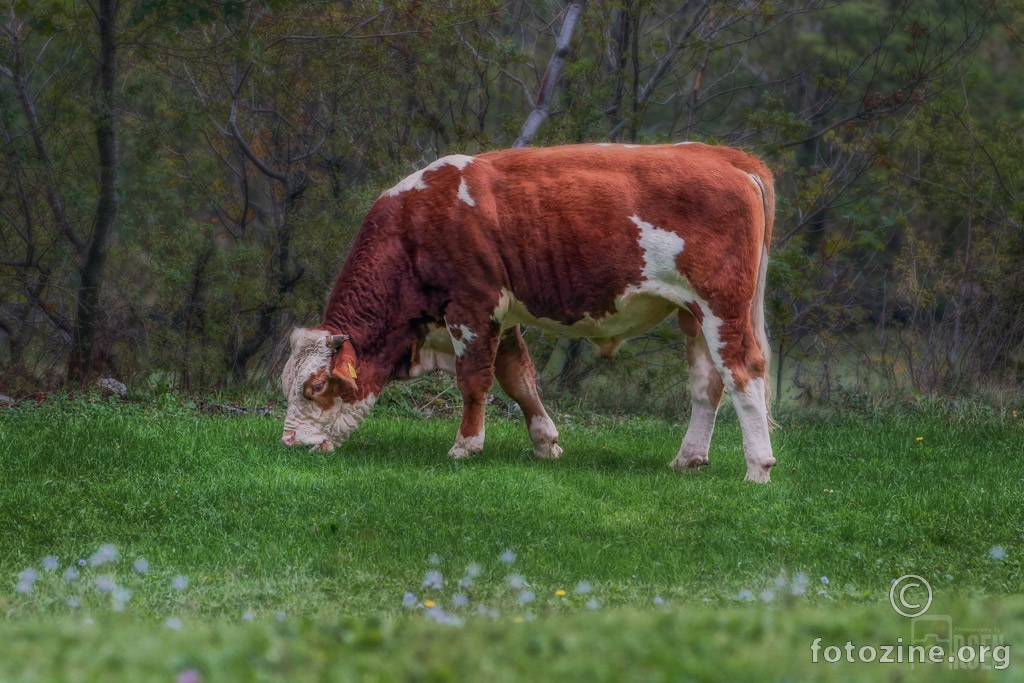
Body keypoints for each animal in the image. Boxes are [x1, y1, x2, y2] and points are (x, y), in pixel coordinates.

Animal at [280, 141, 774, 481]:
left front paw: (465, 446)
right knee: (707, 384)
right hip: (693, 313)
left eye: (317, 386)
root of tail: (723, 156)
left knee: (743, 372)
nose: (288, 442)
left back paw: (757, 468)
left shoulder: (472, 307)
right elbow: (518, 379)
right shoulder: (501, 316)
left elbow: (474, 382)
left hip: (722, 306)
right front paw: (545, 442)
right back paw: (688, 458)